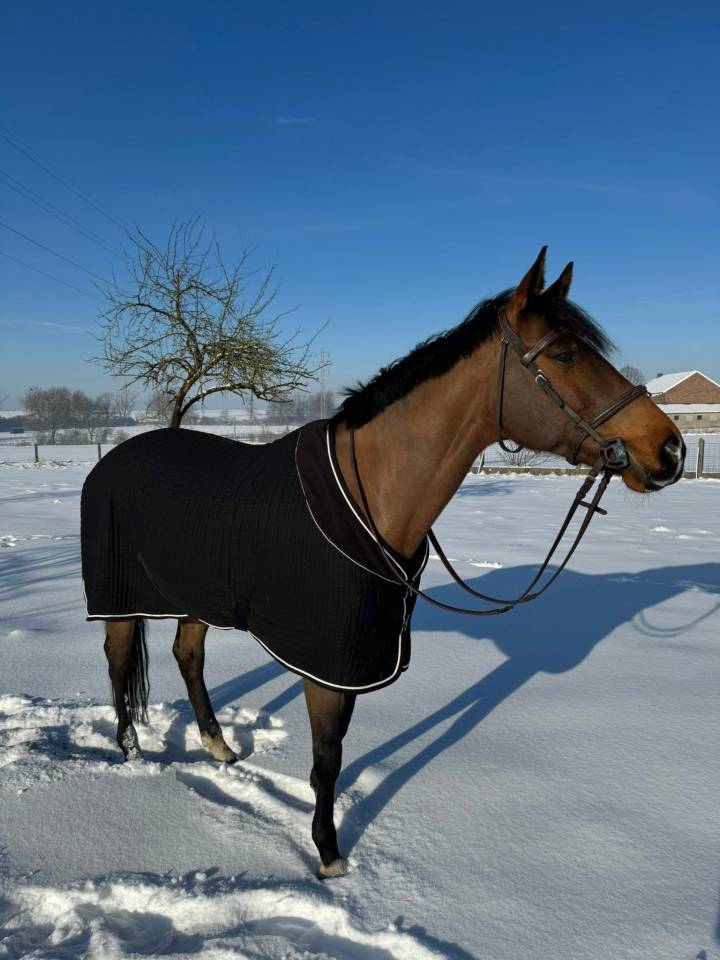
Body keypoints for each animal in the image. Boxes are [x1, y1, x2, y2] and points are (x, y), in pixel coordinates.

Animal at [80, 249, 685, 878]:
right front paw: (328, 855)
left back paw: (219, 747)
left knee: (188, 656)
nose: (669, 448)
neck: (372, 493)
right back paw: (129, 751)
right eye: (566, 355)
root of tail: (110, 462)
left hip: (196, 596)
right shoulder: (328, 666)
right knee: (119, 663)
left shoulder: (351, 658)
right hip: (120, 599)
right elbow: (326, 759)